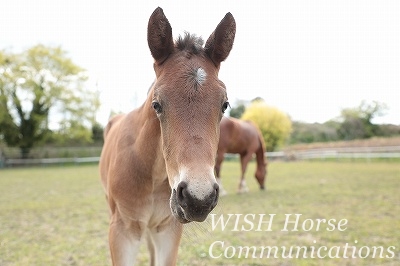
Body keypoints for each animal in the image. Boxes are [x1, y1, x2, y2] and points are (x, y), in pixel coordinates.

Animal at [99, 6, 234, 266]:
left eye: (224, 104)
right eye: (157, 104)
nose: (198, 198)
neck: (152, 173)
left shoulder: (168, 229)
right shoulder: (122, 231)